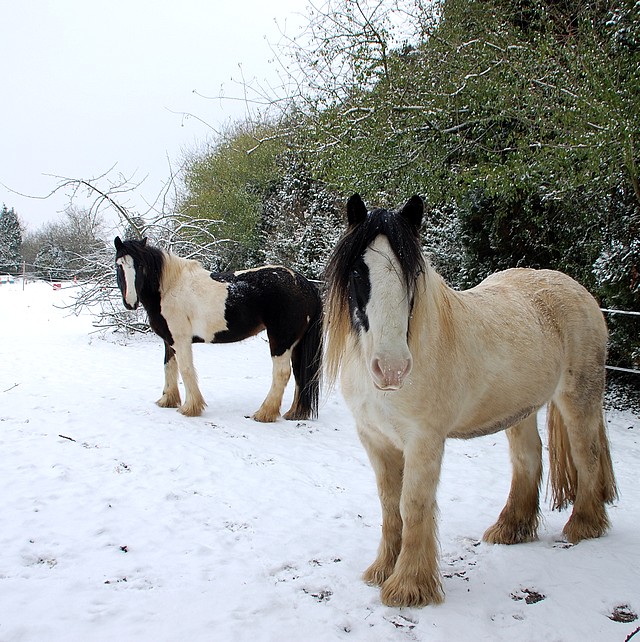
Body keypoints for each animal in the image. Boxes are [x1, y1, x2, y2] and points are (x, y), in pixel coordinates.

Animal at [113, 235, 322, 420]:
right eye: (119, 265)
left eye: (140, 265)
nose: (130, 302)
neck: (169, 288)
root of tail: (305, 285)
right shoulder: (169, 340)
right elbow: (169, 367)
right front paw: (167, 400)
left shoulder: (181, 341)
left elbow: (186, 369)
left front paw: (190, 407)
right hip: (295, 344)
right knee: (299, 374)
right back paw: (294, 413)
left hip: (281, 341)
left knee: (282, 374)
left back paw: (264, 413)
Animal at [322, 194, 616, 604]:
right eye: (357, 273)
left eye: (413, 276)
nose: (392, 369)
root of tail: (577, 289)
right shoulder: (375, 440)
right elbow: (389, 504)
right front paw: (382, 570)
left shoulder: (424, 441)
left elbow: (413, 505)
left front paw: (409, 586)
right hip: (520, 410)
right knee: (528, 458)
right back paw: (511, 529)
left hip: (579, 399)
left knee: (586, 455)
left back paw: (584, 526)